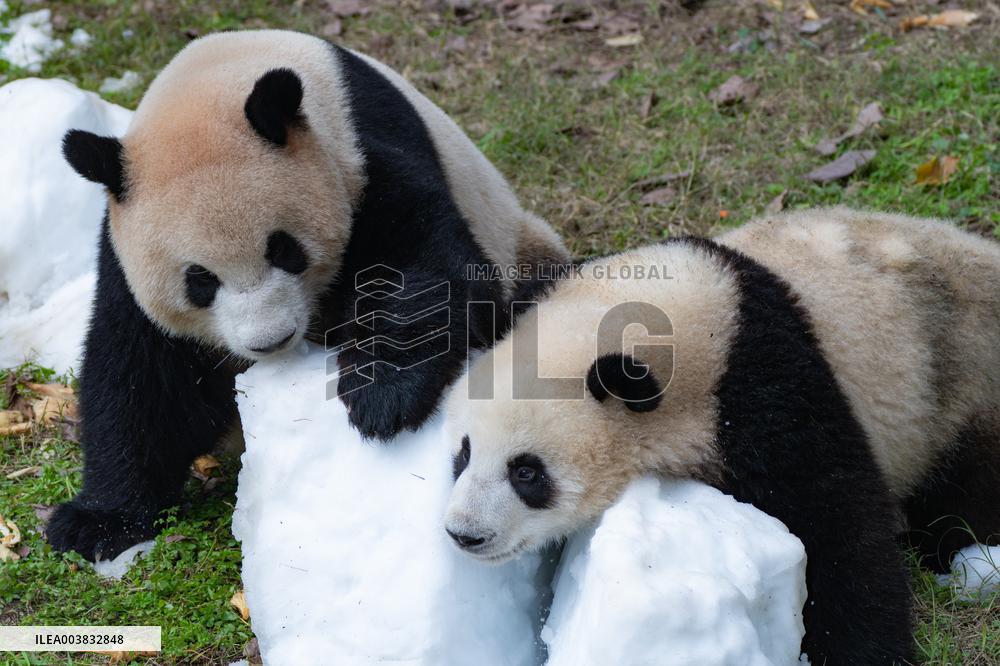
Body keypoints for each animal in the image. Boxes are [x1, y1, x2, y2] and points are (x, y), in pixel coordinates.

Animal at [47, 29, 568, 562]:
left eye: (283, 249)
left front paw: (381, 395)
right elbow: (140, 378)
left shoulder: (362, 152)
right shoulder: (121, 252)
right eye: (200, 280)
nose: (270, 340)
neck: (223, 74)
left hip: (522, 243)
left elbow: (427, 264)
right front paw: (97, 523)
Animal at [443, 207, 1000, 665]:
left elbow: (842, 525)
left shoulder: (763, 396)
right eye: (463, 454)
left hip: (958, 375)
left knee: (967, 485)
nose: (464, 533)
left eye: (527, 472)